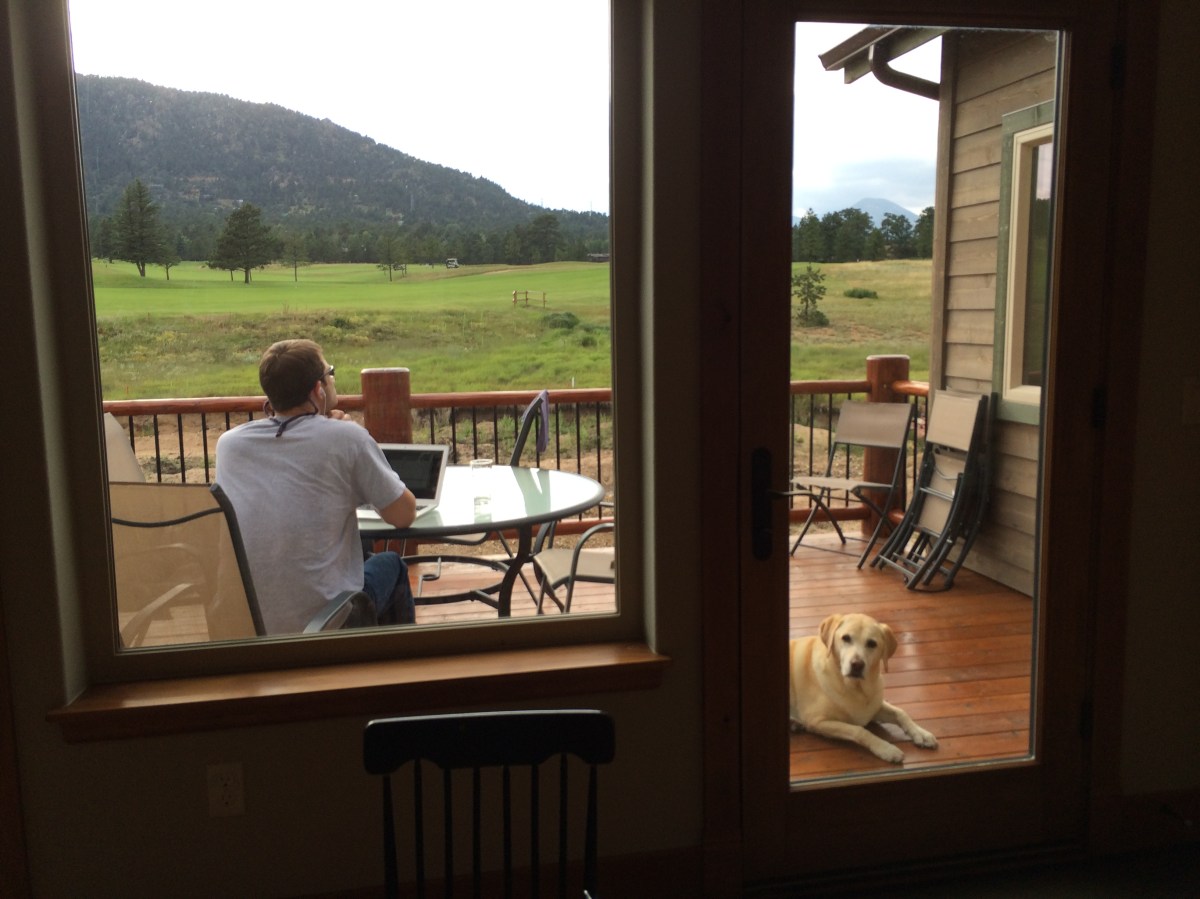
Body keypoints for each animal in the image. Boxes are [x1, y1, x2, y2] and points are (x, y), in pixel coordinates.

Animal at [789, 612, 937, 763]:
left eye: (872, 644)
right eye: (846, 638)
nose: (857, 665)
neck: (856, 688)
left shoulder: (873, 707)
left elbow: (901, 712)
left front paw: (921, 733)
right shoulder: (816, 721)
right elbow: (859, 730)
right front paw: (886, 748)